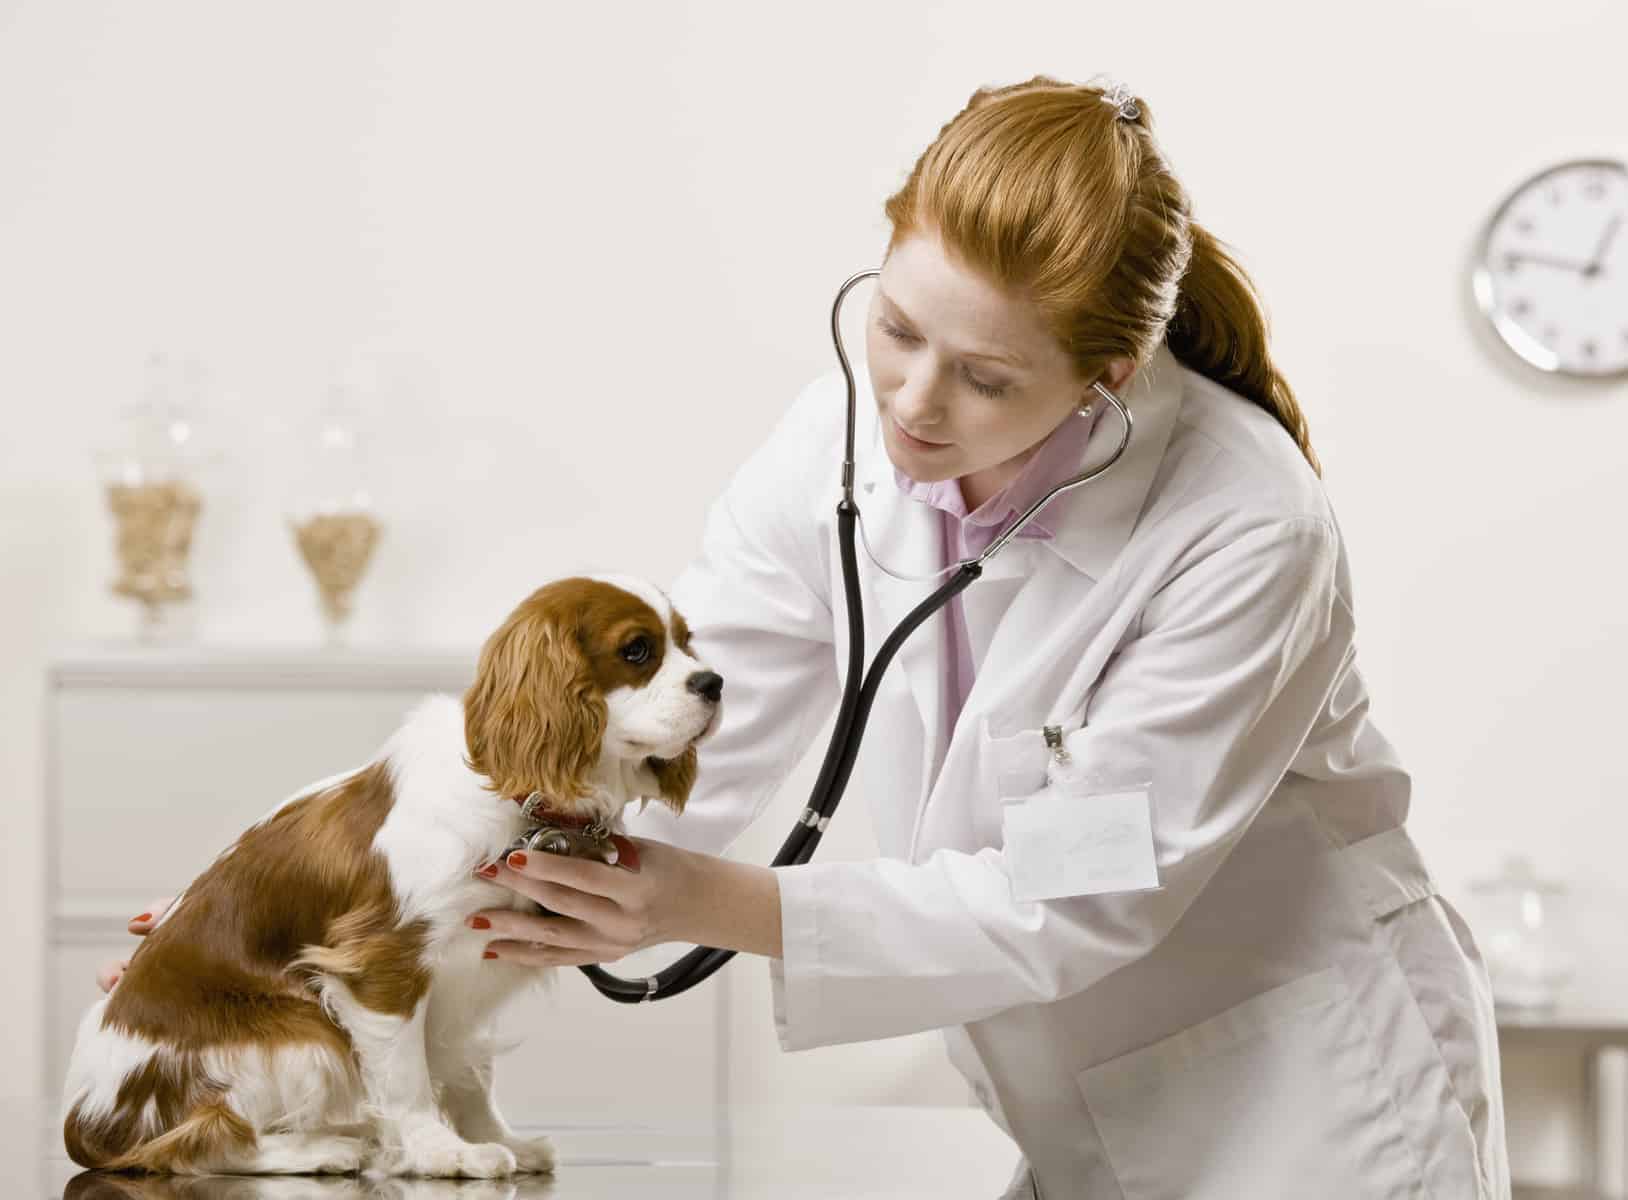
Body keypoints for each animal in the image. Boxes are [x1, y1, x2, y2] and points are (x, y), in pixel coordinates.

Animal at [63, 576, 722, 1172]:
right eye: (637, 650)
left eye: (690, 642)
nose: (715, 682)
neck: (518, 795)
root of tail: (86, 1118)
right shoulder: (382, 962)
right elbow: (408, 1082)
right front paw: (442, 1153)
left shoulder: (475, 973)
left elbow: (468, 1071)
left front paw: (495, 1139)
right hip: (300, 1031)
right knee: (204, 1140)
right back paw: (324, 1147)